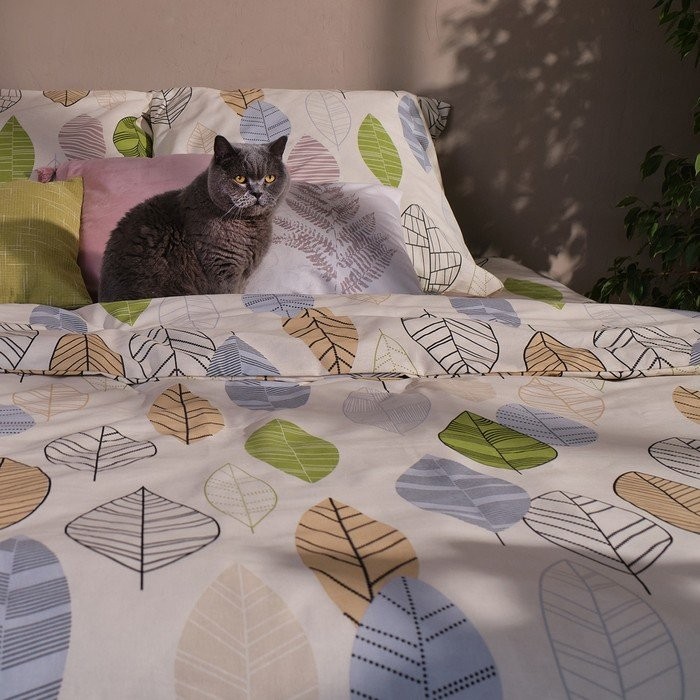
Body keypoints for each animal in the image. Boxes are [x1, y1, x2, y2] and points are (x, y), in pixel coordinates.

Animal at [98, 135, 289, 302]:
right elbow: (229, 294)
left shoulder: (244, 275)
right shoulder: (223, 269)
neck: (250, 226)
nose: (257, 193)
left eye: (270, 178)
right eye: (240, 178)